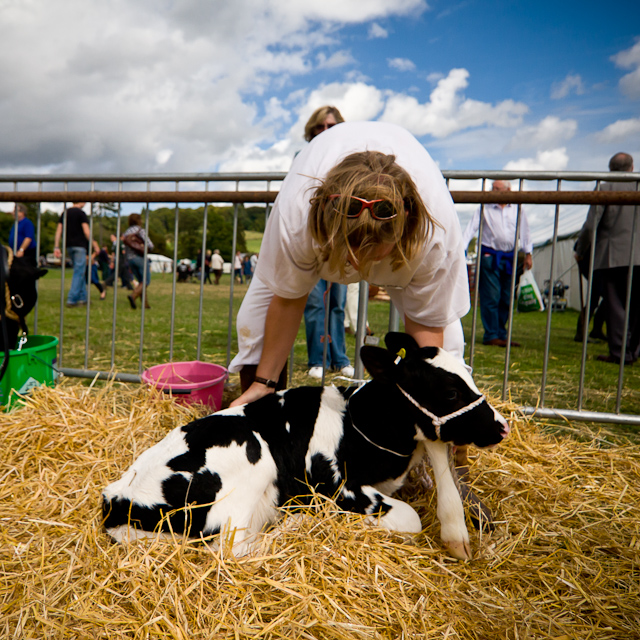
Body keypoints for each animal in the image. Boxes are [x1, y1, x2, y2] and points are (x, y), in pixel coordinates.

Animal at [101, 332, 510, 556]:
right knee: (231, 549)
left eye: (468, 376)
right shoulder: (341, 487)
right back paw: (296, 522)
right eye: (451, 391)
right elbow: (410, 518)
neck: (360, 425)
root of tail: (118, 500)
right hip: (252, 461)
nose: (502, 427)